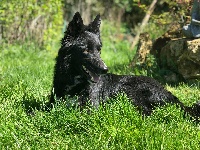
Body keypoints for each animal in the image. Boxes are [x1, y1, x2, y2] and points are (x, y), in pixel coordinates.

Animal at [49, 12, 199, 118]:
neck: (74, 83)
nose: (105, 69)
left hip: (127, 90)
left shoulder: (89, 109)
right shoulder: (52, 104)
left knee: (148, 113)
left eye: (99, 50)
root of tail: (167, 93)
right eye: (86, 50)